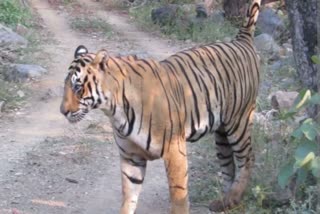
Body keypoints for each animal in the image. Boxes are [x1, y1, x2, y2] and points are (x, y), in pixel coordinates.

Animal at [60, 0, 262, 213]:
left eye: (77, 87)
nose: (62, 111)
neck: (115, 110)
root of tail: (241, 39)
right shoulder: (131, 157)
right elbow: (129, 196)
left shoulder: (174, 149)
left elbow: (179, 195)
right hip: (221, 133)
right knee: (228, 165)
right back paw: (223, 201)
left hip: (239, 121)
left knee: (248, 158)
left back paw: (234, 198)